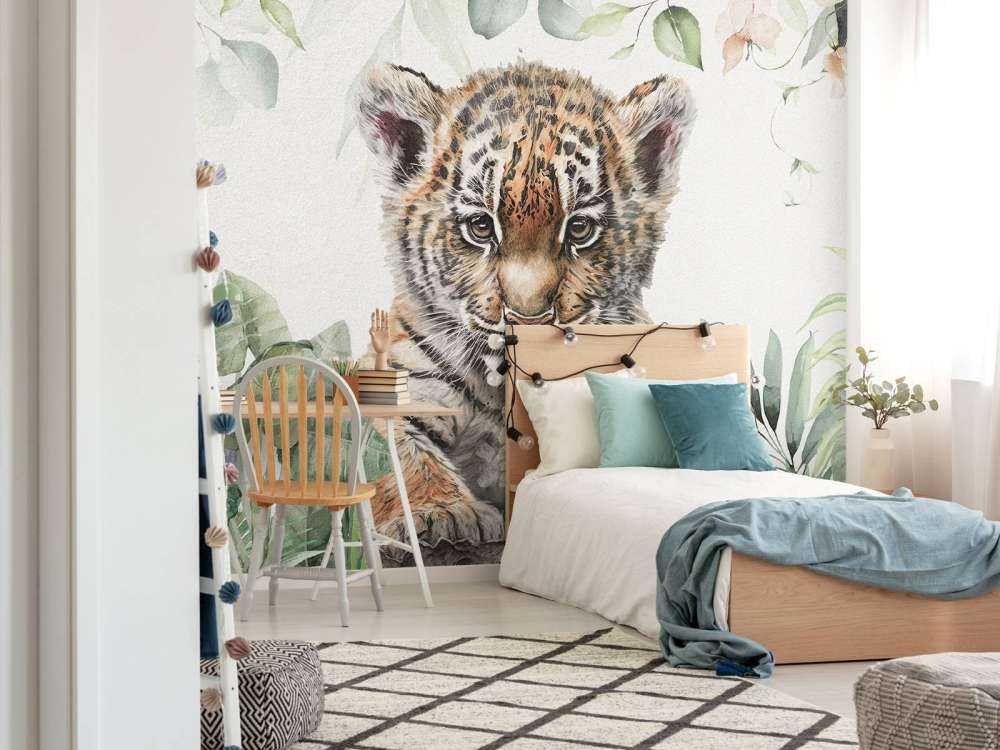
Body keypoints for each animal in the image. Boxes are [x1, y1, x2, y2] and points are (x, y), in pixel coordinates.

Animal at [354, 61, 696, 565]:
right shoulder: (407, 387)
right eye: (480, 227)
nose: (528, 317)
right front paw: (442, 513)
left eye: (579, 228)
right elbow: (402, 453)